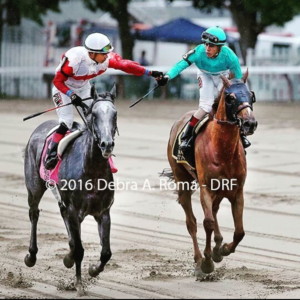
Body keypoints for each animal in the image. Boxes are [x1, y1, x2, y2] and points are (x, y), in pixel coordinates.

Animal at [23, 84, 117, 296]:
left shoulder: (103, 212)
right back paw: (31, 256)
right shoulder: (74, 211)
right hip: (34, 187)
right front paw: (79, 284)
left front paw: (92, 269)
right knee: (34, 213)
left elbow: (106, 252)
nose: (107, 144)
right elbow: (79, 249)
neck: (92, 169)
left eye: (114, 114)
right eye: (94, 115)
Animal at [166, 72, 258, 276]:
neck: (223, 150)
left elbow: (240, 231)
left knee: (214, 211)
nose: (250, 123)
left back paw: (217, 245)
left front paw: (222, 250)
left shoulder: (236, 191)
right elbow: (206, 222)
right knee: (191, 222)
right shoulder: (206, 188)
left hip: (220, 189)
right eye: (230, 97)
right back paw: (199, 259)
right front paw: (207, 262)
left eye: (251, 95)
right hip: (182, 181)